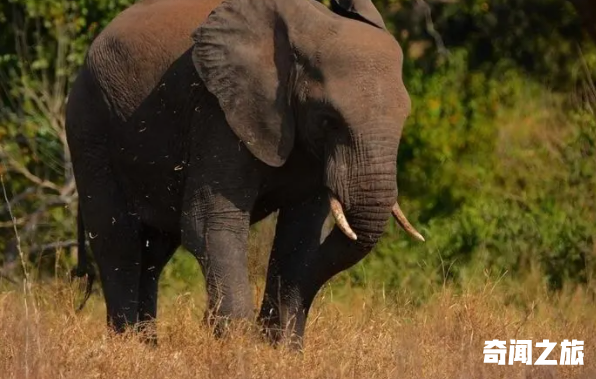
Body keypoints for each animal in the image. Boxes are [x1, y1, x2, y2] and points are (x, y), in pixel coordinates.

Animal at [65, 0, 424, 348]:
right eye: (328, 119)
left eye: (405, 116)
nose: (205, 320)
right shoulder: (218, 111)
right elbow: (208, 224)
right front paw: (240, 348)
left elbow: (301, 236)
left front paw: (281, 351)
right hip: (89, 127)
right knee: (117, 239)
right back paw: (129, 346)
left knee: (155, 249)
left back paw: (148, 346)